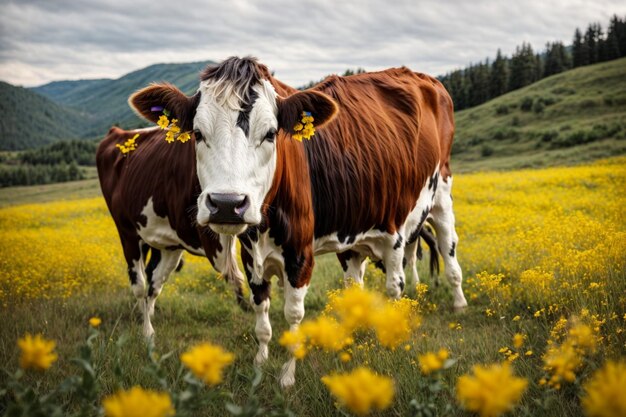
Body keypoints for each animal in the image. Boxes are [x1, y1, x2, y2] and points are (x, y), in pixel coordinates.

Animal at [96, 125, 245, 336]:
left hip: (165, 243)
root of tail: (117, 131)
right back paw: (145, 324)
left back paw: (147, 312)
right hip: (127, 232)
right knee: (139, 282)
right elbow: (235, 274)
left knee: (154, 278)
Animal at [128, 56, 468, 386]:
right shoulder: (251, 255)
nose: (227, 204)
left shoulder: (300, 256)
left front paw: (287, 376)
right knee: (356, 282)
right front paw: (260, 361)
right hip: (354, 230)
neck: (265, 227)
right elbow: (261, 310)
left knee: (425, 266)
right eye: (198, 134)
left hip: (431, 202)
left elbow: (293, 316)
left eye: (270, 133)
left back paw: (456, 305)